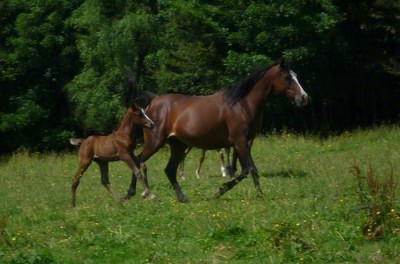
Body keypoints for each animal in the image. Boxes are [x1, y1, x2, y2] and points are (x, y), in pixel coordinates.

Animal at [126, 60, 308, 202]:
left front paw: (219, 190)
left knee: (169, 169)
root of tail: (154, 100)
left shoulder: (244, 142)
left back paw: (181, 197)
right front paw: (260, 195)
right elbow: (251, 169)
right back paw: (136, 193)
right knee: (138, 161)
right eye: (287, 77)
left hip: (177, 145)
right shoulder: (240, 141)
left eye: (296, 76)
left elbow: (243, 171)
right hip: (155, 142)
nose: (304, 97)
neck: (242, 104)